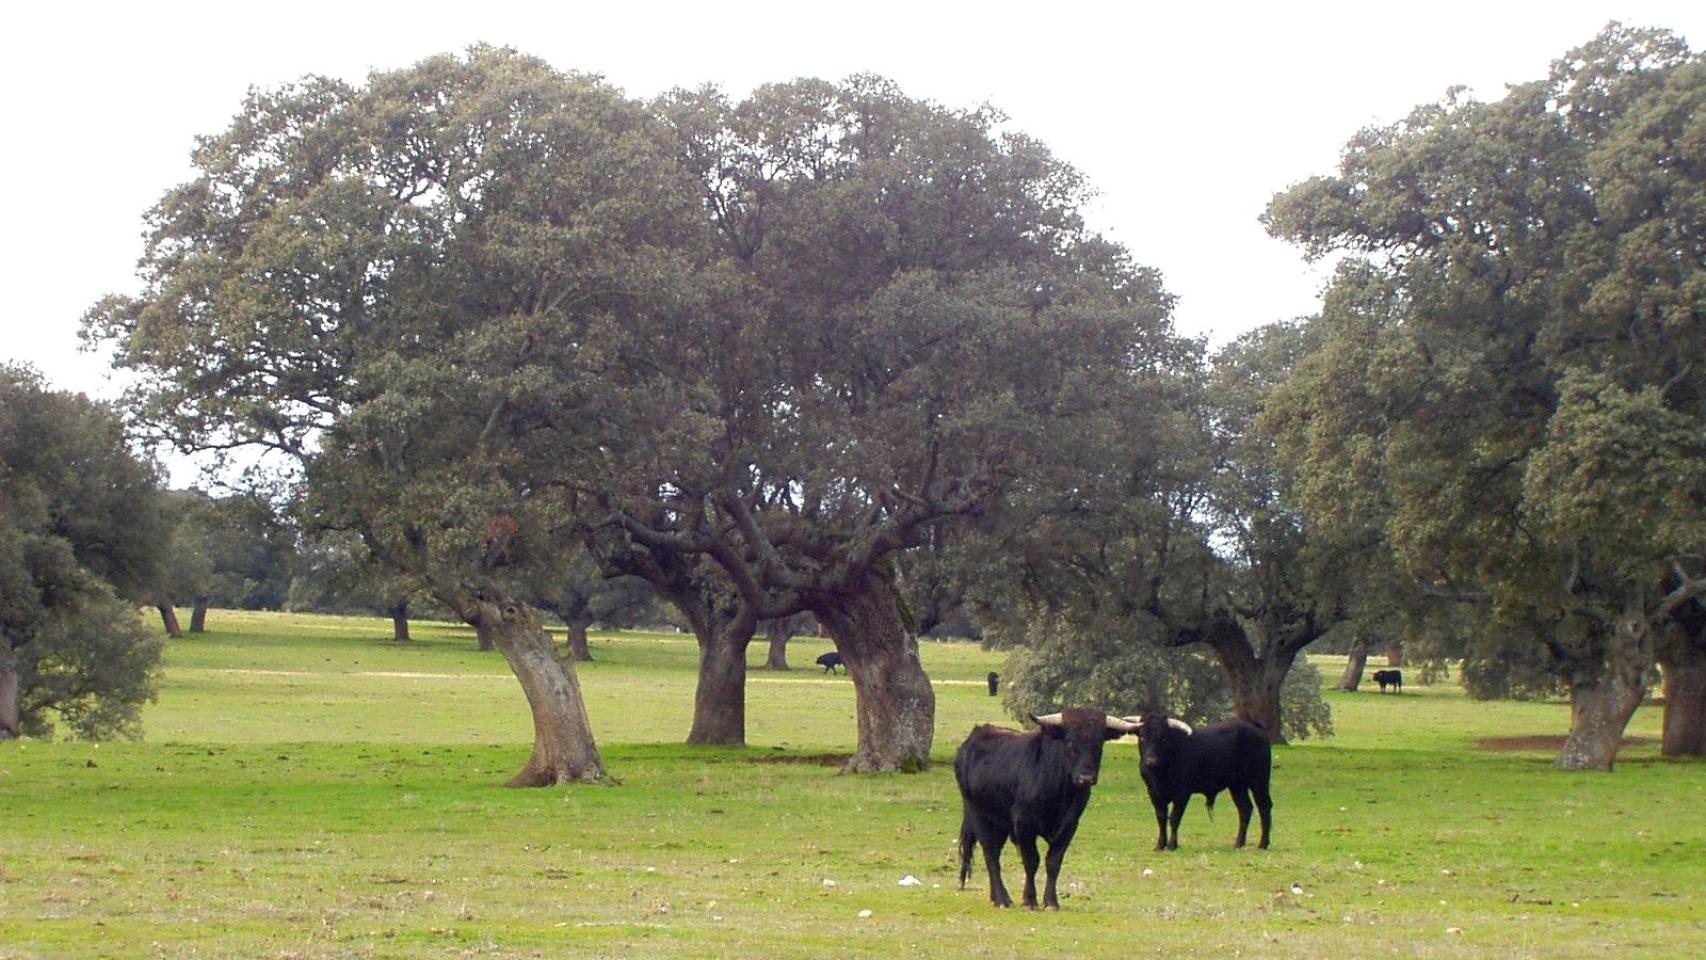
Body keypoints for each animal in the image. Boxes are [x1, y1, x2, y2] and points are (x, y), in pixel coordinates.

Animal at [955, 712, 1139, 907]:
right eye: (1069, 740)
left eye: (1099, 742)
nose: (1086, 778)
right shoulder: (1024, 824)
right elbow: (1031, 861)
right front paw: (1030, 900)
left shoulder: (1070, 826)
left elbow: (1053, 862)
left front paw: (1051, 901)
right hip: (978, 816)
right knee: (991, 855)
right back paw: (1003, 899)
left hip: (999, 824)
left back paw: (996, 897)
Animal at [1132, 709, 1269, 852]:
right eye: (1142, 737)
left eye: (1163, 738)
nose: (1151, 761)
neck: (1160, 774)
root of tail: (1256, 729)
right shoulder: (1153, 793)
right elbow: (1161, 817)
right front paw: (1160, 845)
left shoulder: (1182, 793)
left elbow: (1174, 818)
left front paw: (1171, 845)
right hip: (1237, 785)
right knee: (1245, 808)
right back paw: (1238, 843)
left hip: (1259, 780)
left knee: (1264, 806)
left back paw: (1263, 844)